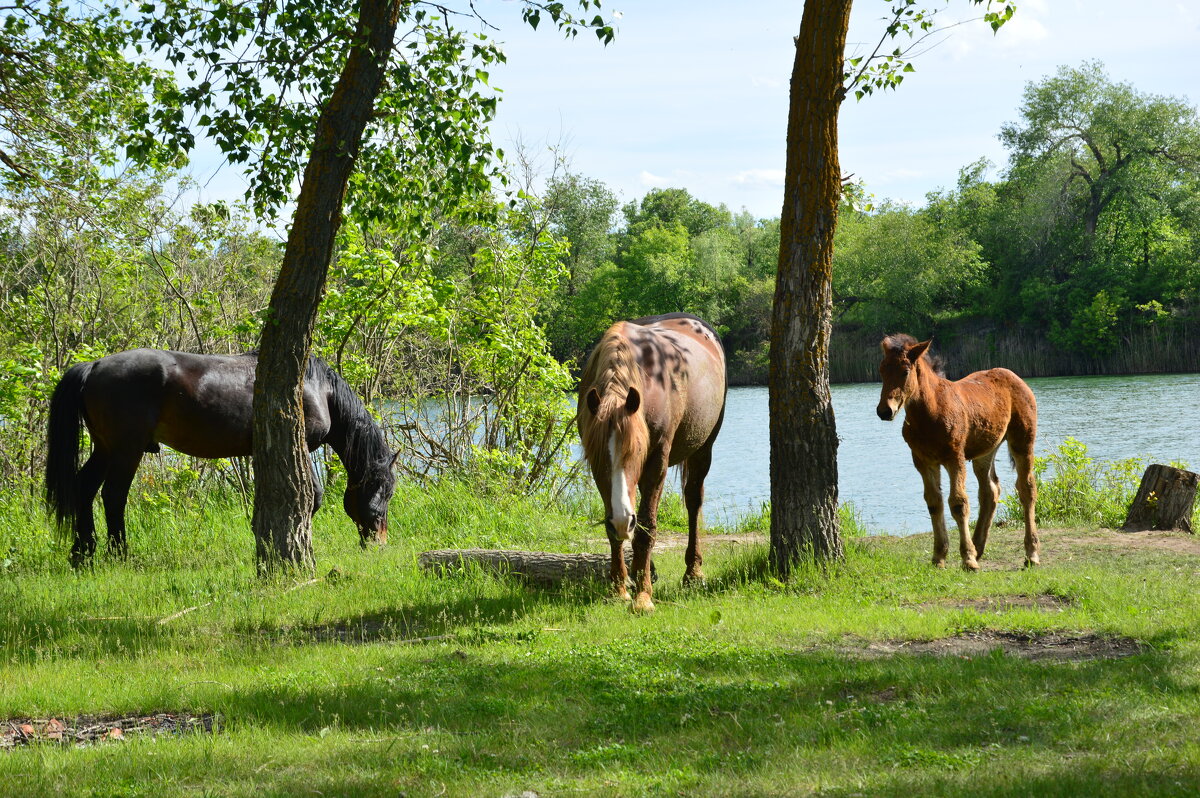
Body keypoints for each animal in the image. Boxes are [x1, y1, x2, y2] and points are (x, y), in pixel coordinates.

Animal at [44, 350, 396, 566]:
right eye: (384, 492)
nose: (380, 543)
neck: (314, 386)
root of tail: (94, 366)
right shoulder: (299, 445)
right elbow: (313, 496)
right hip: (125, 450)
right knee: (113, 496)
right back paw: (119, 553)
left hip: (104, 448)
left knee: (84, 489)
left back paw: (83, 552)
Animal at [576, 314, 724, 612]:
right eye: (597, 457)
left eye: (636, 452)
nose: (623, 521)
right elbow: (614, 530)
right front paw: (619, 589)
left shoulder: (656, 462)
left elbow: (647, 529)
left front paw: (643, 597)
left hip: (704, 450)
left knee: (693, 501)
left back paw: (693, 572)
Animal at [873, 333, 1041, 568]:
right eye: (881, 370)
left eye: (905, 371)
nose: (884, 411)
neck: (929, 413)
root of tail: (1015, 376)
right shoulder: (923, 461)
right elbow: (934, 503)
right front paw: (939, 556)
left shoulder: (955, 457)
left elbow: (959, 504)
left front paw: (968, 559)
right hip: (985, 451)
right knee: (990, 490)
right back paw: (979, 546)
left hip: (1022, 441)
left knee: (1026, 489)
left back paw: (1031, 553)